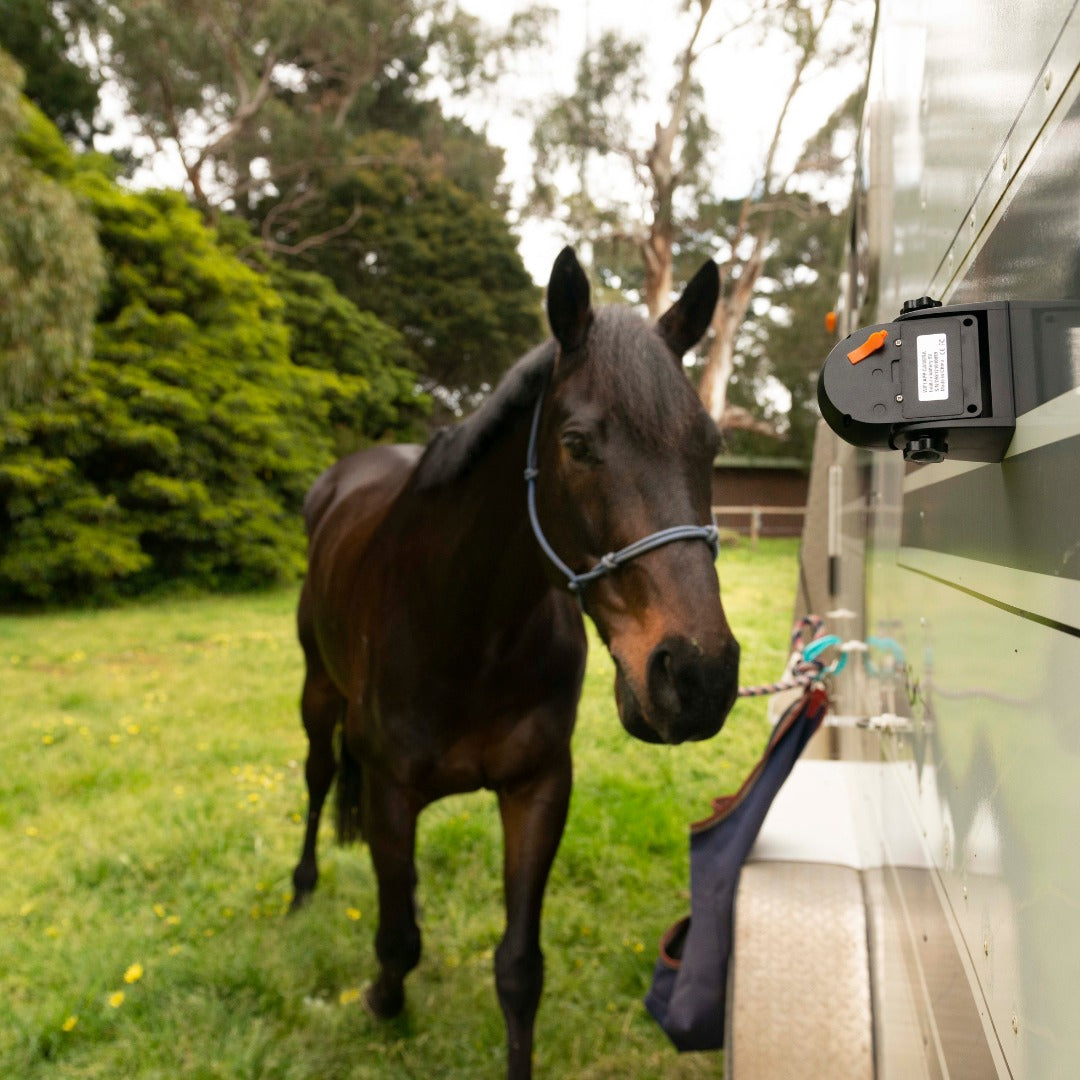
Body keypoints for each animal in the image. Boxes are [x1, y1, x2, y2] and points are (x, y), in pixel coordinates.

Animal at [290, 246, 741, 1079]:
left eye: (711, 446)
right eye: (578, 443)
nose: (699, 678)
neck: (467, 633)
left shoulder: (537, 788)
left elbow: (518, 968)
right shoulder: (391, 789)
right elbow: (397, 939)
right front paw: (379, 1000)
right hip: (316, 692)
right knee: (316, 779)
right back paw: (300, 892)